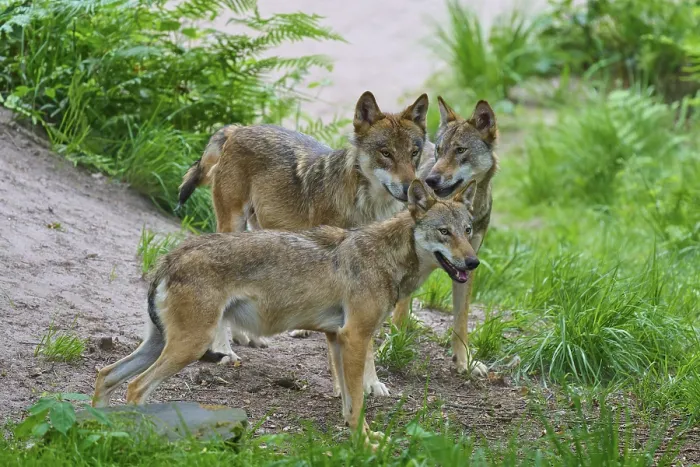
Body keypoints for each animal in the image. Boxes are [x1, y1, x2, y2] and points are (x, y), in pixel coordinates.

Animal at [92, 179, 480, 446]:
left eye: (468, 230)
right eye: (444, 232)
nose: (474, 262)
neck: (386, 257)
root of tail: (172, 256)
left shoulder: (337, 339)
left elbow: (348, 401)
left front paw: (361, 436)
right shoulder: (355, 337)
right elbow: (357, 403)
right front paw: (364, 444)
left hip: (161, 345)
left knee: (106, 374)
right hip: (190, 346)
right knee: (136, 388)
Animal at [177, 91, 429, 395]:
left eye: (413, 153)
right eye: (386, 153)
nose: (409, 187)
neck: (366, 208)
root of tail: (239, 129)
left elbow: (367, 339)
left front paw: (372, 383)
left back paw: (246, 337)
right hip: (233, 224)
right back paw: (225, 349)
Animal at [391, 97, 499, 377]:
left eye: (460, 150)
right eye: (440, 150)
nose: (430, 179)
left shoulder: (468, 261)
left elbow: (461, 320)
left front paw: (464, 361)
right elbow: (399, 313)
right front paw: (393, 347)